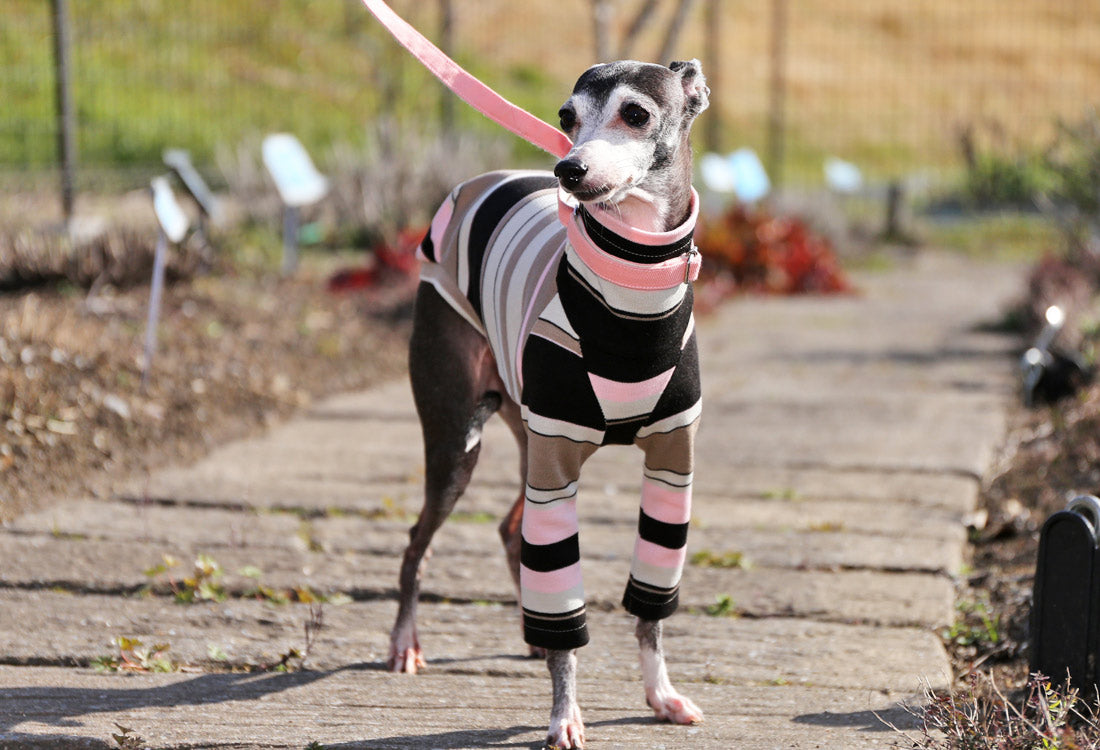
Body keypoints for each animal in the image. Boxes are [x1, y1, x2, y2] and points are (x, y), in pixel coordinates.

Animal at [391, 59, 708, 747]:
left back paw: (528, 638)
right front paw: (564, 715)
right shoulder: (557, 464)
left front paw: (660, 694)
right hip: (458, 443)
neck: (634, 287)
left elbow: (652, 605)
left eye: (636, 114)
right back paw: (405, 642)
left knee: (511, 528)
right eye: (566, 116)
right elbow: (566, 609)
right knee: (419, 537)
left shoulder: (672, 464)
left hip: (525, 431)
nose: (569, 170)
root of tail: (473, 184)